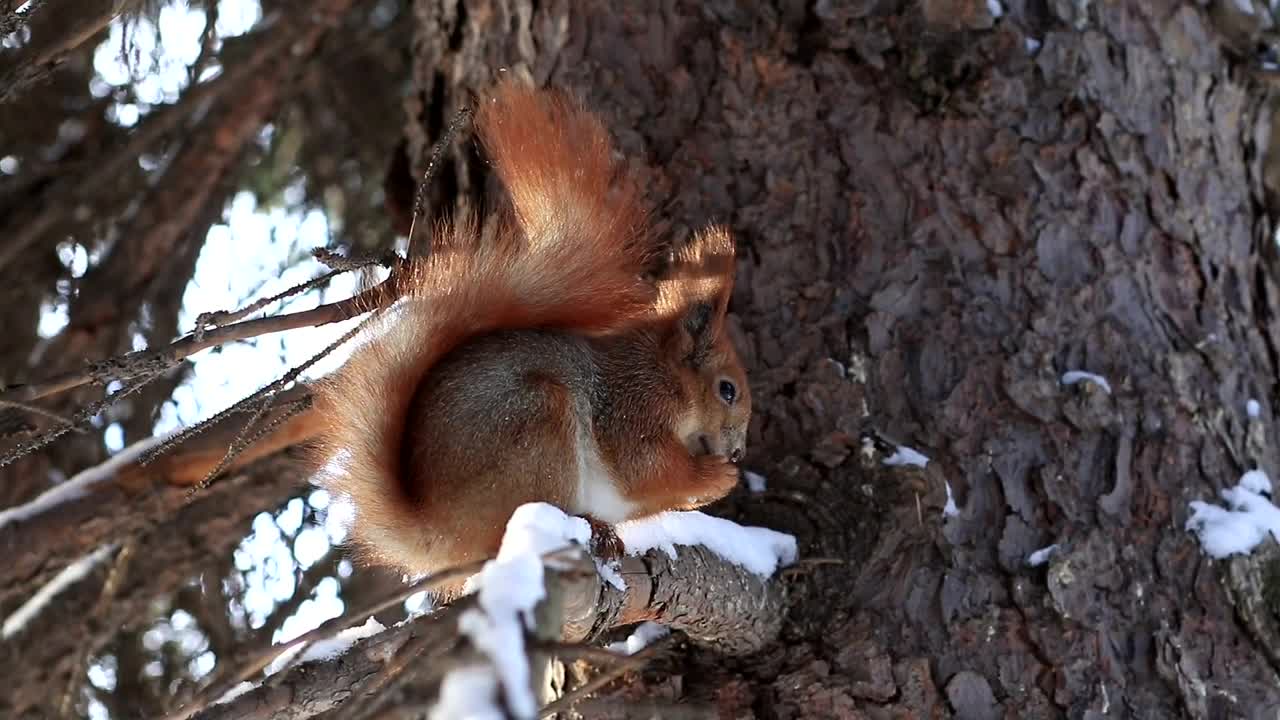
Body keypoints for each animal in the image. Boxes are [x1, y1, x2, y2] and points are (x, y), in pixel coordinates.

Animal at [310, 80, 751, 583]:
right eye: (727, 390)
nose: (738, 454)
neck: (667, 375)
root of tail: (440, 534)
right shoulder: (632, 408)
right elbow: (644, 470)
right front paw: (715, 478)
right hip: (536, 428)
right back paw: (589, 527)